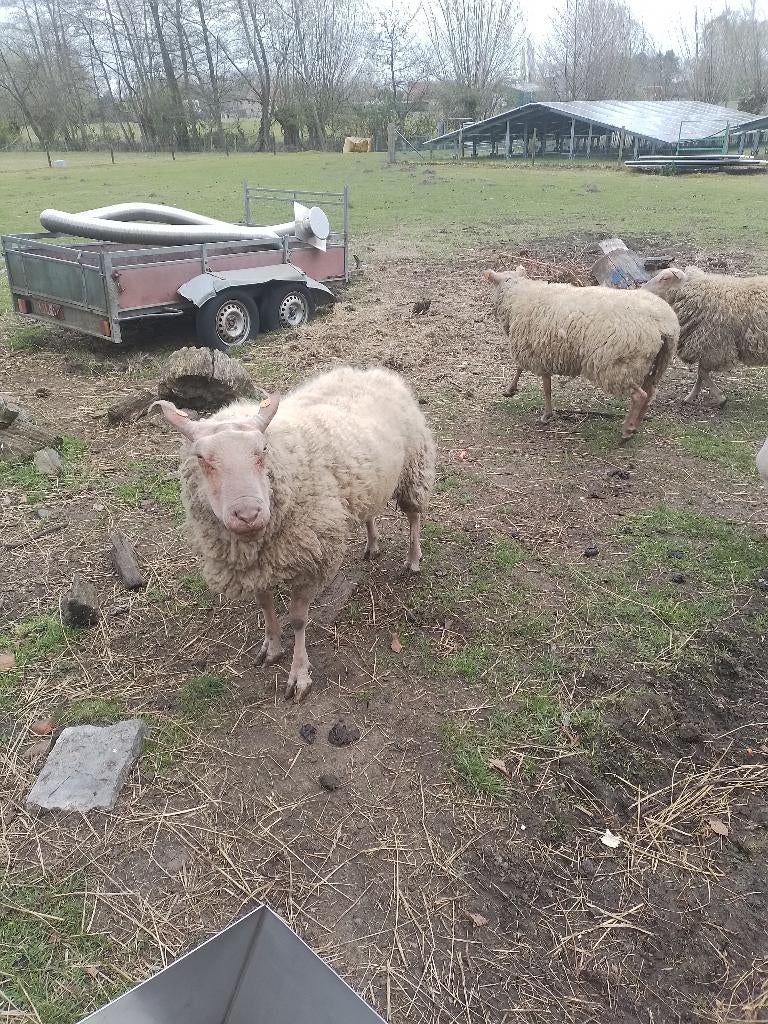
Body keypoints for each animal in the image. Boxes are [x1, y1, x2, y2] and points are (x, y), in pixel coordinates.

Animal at [154, 366, 435, 702]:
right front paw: (272, 647)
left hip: (413, 467)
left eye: (262, 450)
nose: (247, 514)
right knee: (370, 512)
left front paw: (299, 674)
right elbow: (265, 606)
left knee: (414, 516)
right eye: (201, 458)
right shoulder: (256, 566)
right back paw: (372, 545)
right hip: (370, 480)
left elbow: (299, 620)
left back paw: (413, 559)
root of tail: (372, 372)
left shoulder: (310, 558)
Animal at [483, 266, 680, 441]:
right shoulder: (541, 350)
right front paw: (511, 390)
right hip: (654, 363)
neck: (518, 296)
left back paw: (627, 430)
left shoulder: (536, 349)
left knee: (640, 396)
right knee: (650, 392)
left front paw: (545, 414)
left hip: (619, 366)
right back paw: (635, 425)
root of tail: (663, 325)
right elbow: (530, 374)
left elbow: (542, 385)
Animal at [643, 266, 768, 406]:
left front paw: (720, 398)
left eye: (665, 278)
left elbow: (702, 372)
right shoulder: (706, 347)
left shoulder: (714, 346)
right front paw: (691, 397)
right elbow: (700, 373)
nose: (643, 289)